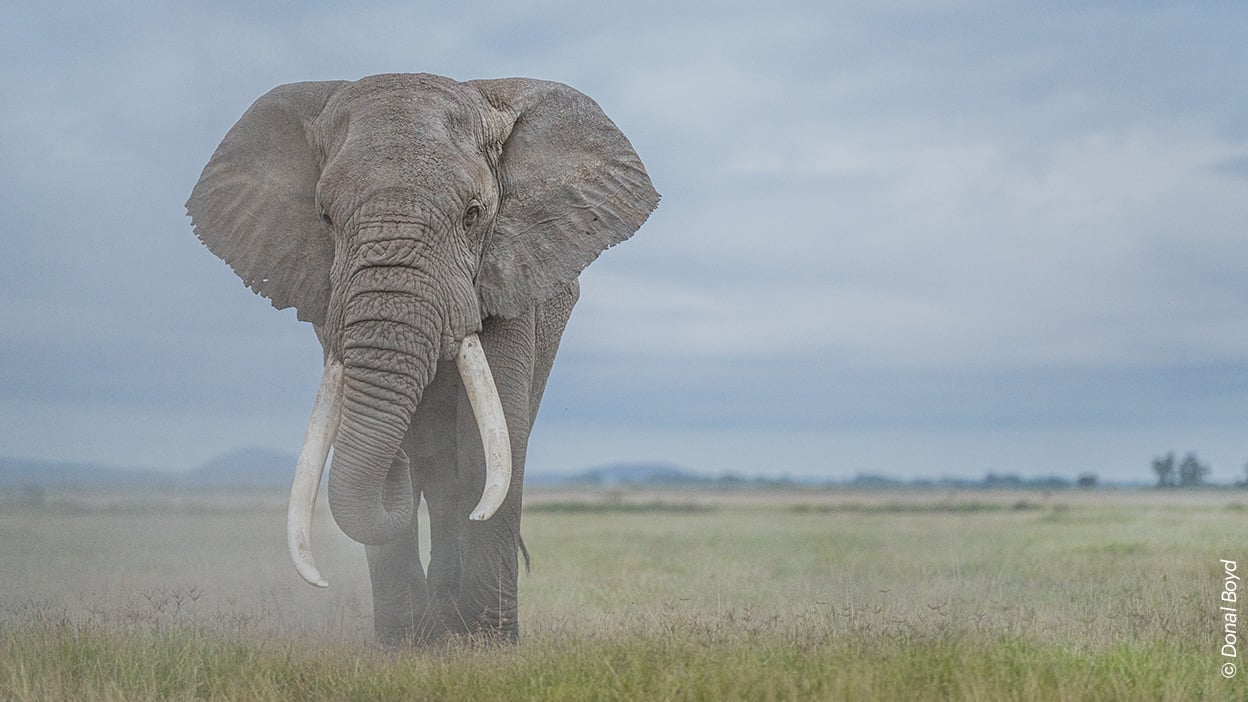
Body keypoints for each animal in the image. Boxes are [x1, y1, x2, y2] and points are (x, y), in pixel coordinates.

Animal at [186, 73, 658, 645]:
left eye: (473, 215)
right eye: (325, 217)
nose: (396, 463)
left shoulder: (509, 277)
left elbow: (486, 446)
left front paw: (487, 645)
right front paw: (404, 645)